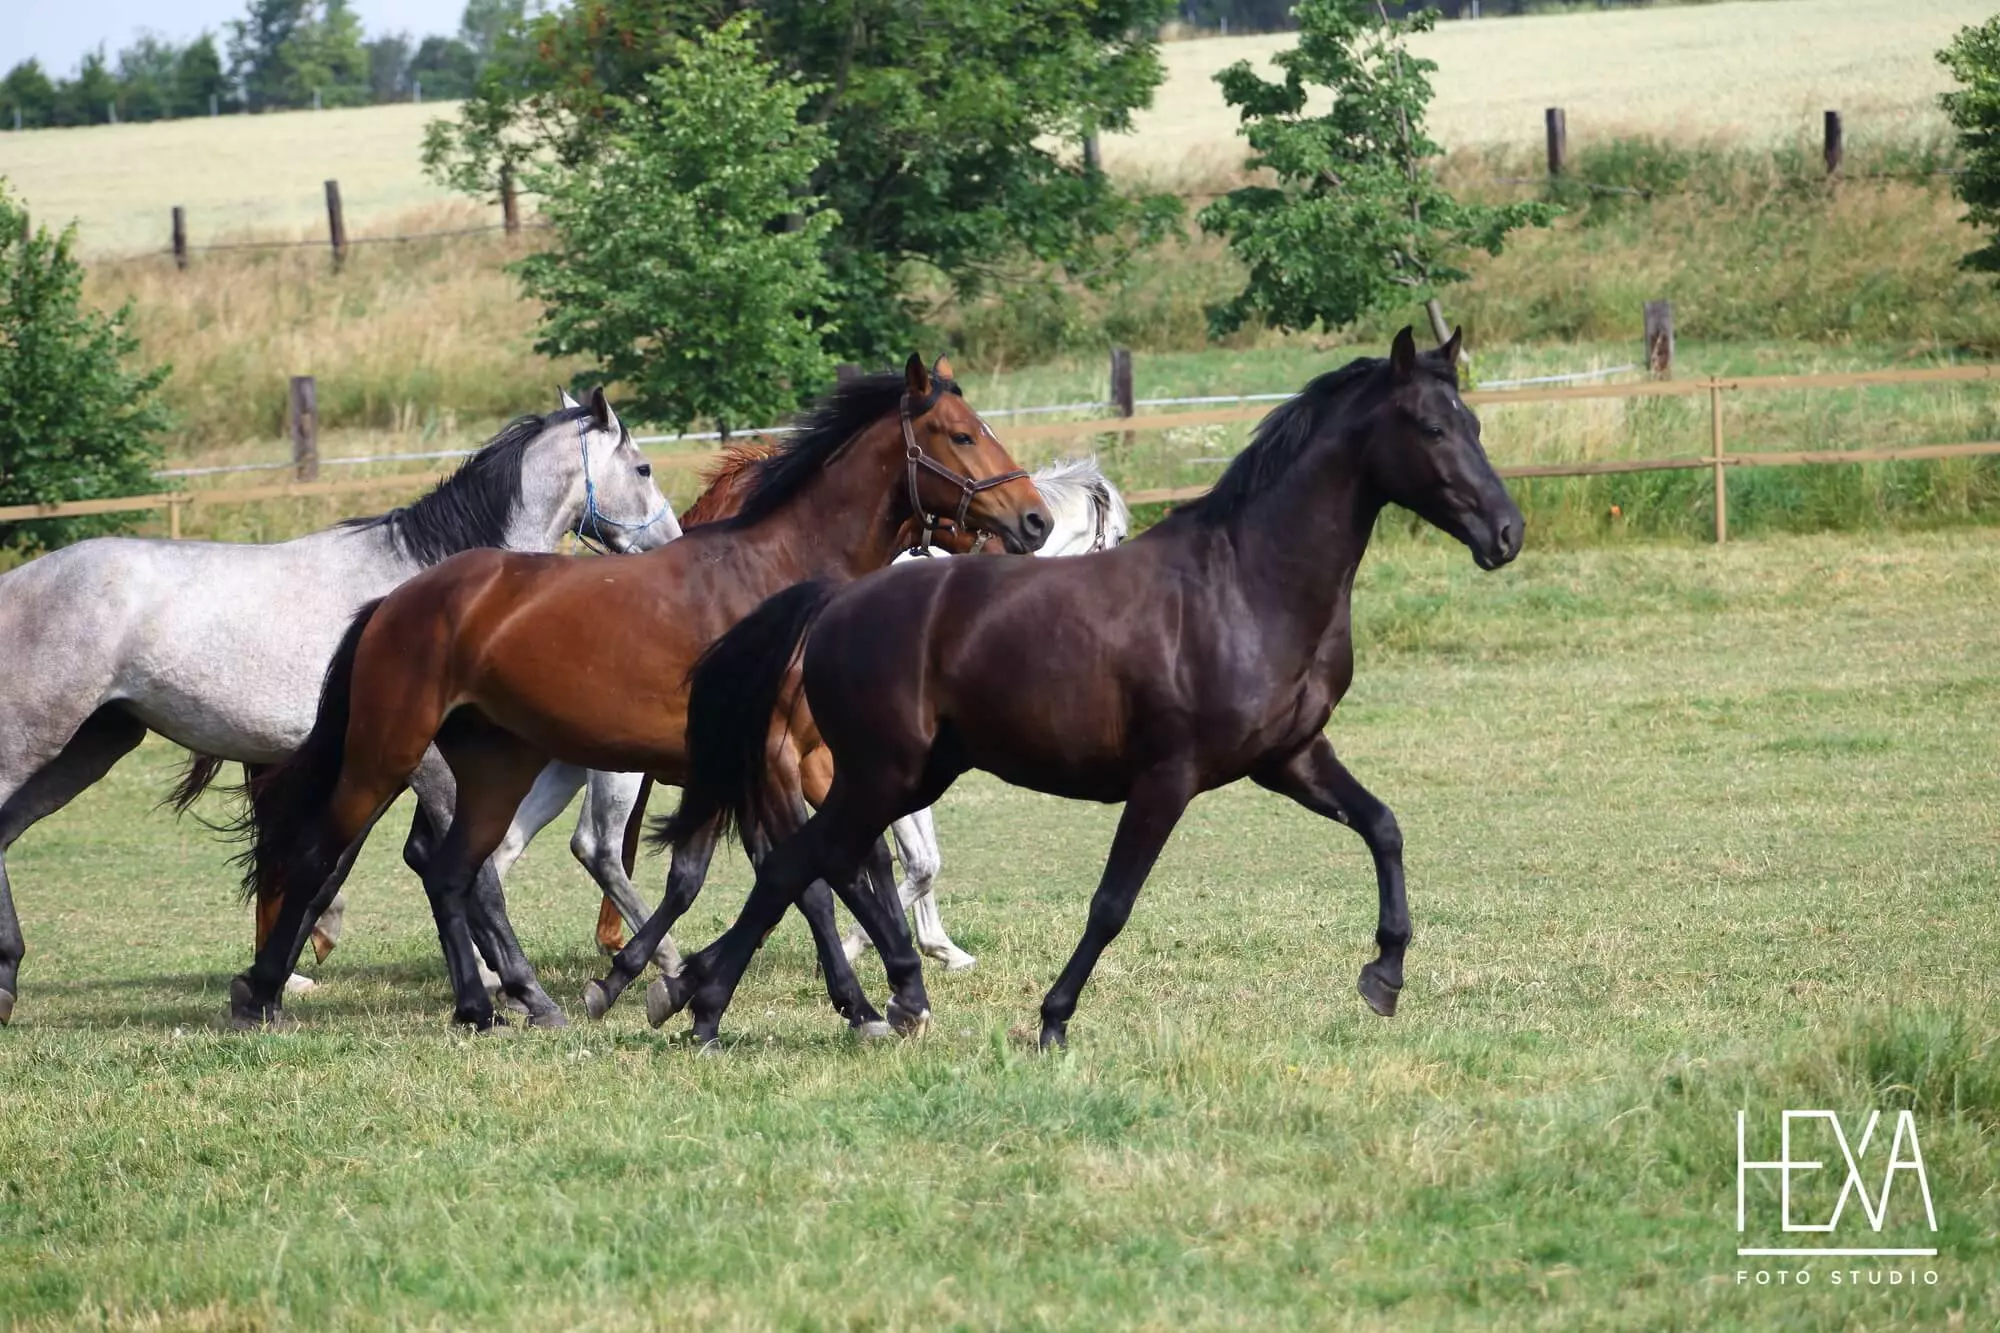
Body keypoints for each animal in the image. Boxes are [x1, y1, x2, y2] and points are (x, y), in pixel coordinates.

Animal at [0, 387, 675, 1028]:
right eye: (643, 468)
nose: (671, 543)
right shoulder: (430, 767)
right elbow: (469, 874)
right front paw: (527, 996)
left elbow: (337, 868)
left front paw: (265, 988)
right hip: (32, 744)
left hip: (89, 749)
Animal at [231, 356, 1050, 1033]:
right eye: (960, 435)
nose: (1034, 520)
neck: (778, 578)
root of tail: (395, 600)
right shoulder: (770, 764)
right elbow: (814, 878)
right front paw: (855, 1002)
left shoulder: (777, 765)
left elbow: (833, 866)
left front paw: (882, 991)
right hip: (386, 755)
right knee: (323, 855)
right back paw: (264, 993)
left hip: (496, 768)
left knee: (453, 869)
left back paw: (492, 1004)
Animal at [638, 329, 1523, 1049]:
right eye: (1433, 427)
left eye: (1475, 424)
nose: (1506, 533)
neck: (1245, 584)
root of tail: (833, 600)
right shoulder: (1168, 777)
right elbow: (1111, 902)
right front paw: (1053, 1019)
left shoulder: (1292, 757)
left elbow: (1384, 826)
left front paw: (1384, 976)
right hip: (880, 775)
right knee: (801, 865)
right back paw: (704, 1005)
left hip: (907, 776)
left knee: (815, 865)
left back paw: (700, 992)